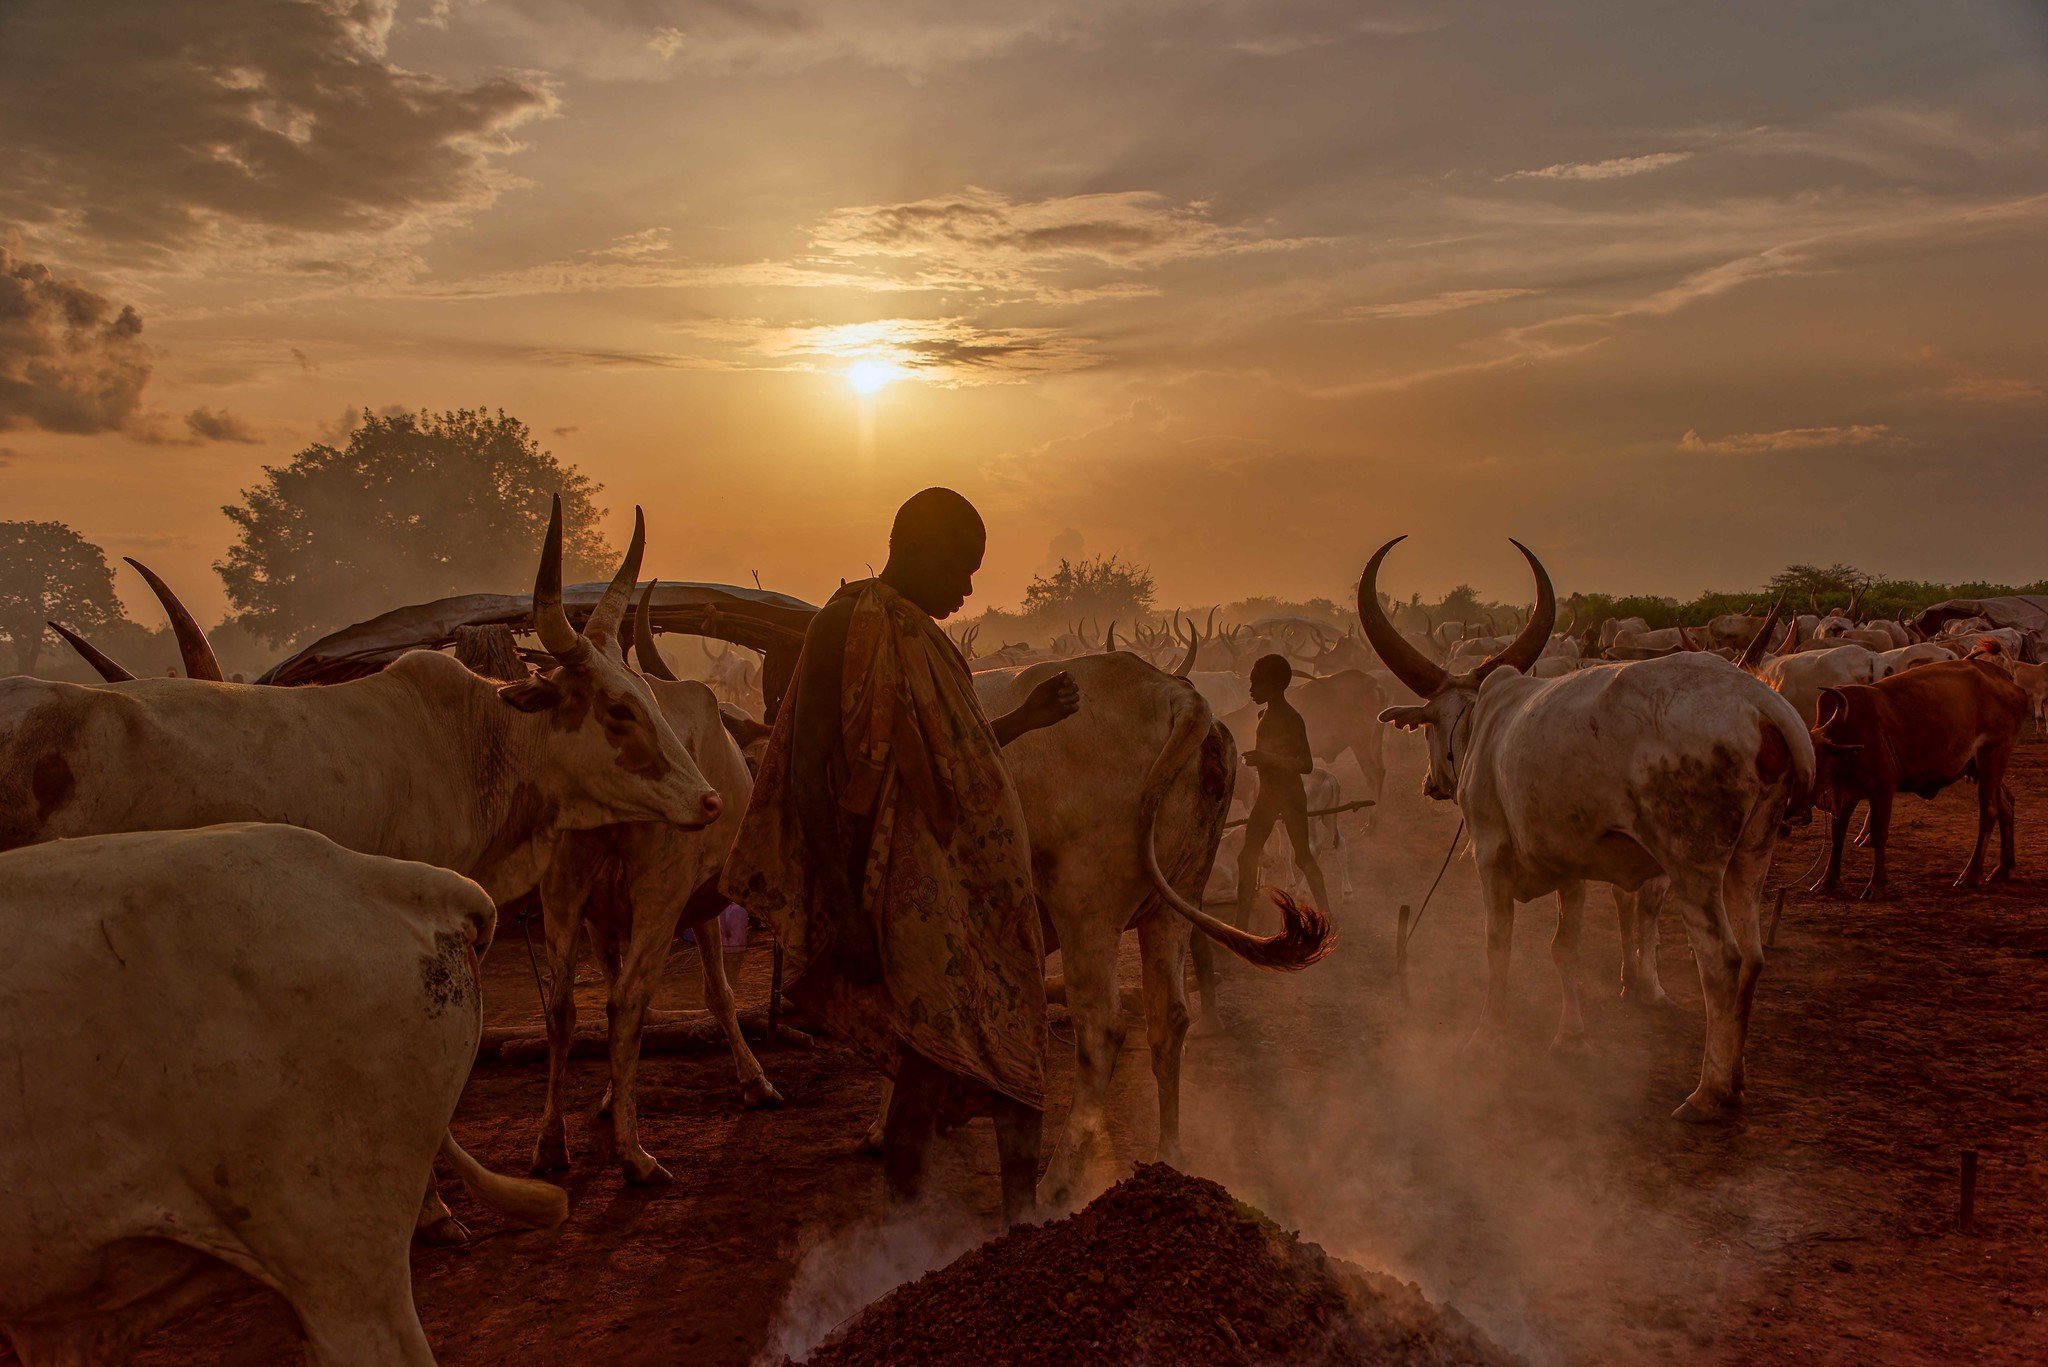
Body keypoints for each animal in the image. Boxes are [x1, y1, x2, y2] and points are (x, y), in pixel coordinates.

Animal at [1359, 536, 1810, 1123]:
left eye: (1431, 725)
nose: (1431, 783)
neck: (1484, 722)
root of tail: (1760, 701)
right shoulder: (1569, 866)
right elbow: (1564, 948)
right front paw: (1570, 1037)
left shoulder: (1491, 856)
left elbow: (1497, 942)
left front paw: (1488, 1034)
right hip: (1753, 854)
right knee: (1754, 958)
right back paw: (1734, 1080)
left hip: (1693, 864)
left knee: (1722, 962)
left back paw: (1707, 1093)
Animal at [1818, 659, 2023, 901]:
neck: (1848, 736)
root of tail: (2005, 678)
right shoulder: (1846, 793)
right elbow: (1837, 833)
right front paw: (1827, 881)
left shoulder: (1882, 790)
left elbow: (1879, 833)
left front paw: (1876, 884)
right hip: (1979, 769)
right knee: (2006, 805)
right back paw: (2004, 868)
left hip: (1992, 758)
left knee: (1989, 812)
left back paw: (1971, 874)